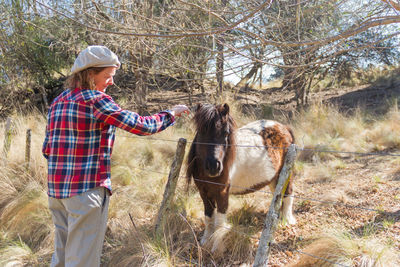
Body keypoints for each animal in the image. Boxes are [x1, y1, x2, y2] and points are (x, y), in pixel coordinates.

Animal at [186, 104, 296, 249]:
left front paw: (216, 245)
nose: (214, 166)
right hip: (274, 178)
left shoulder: (222, 193)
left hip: (286, 173)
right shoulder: (203, 192)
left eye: (226, 133)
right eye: (201, 131)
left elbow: (219, 222)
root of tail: (283, 127)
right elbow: (209, 217)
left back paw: (287, 220)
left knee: (288, 193)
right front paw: (205, 241)